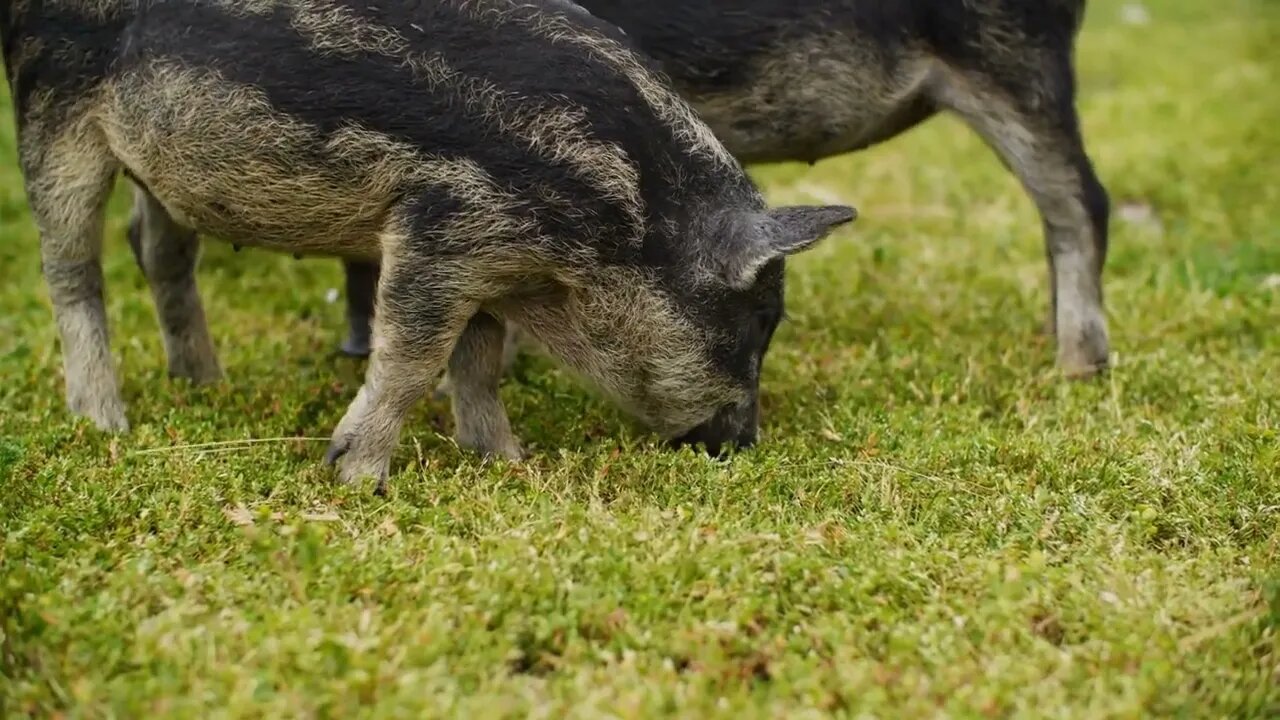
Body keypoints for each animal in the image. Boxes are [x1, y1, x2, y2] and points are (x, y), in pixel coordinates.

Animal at [7, 0, 860, 486]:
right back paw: (105, 423)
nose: (742, 446)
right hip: (51, 111)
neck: (618, 210)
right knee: (71, 271)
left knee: (157, 249)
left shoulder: (491, 261)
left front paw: (506, 463)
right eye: (753, 325)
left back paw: (204, 385)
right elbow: (414, 359)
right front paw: (357, 480)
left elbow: (475, 361)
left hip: (158, 173)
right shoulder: (440, 226)